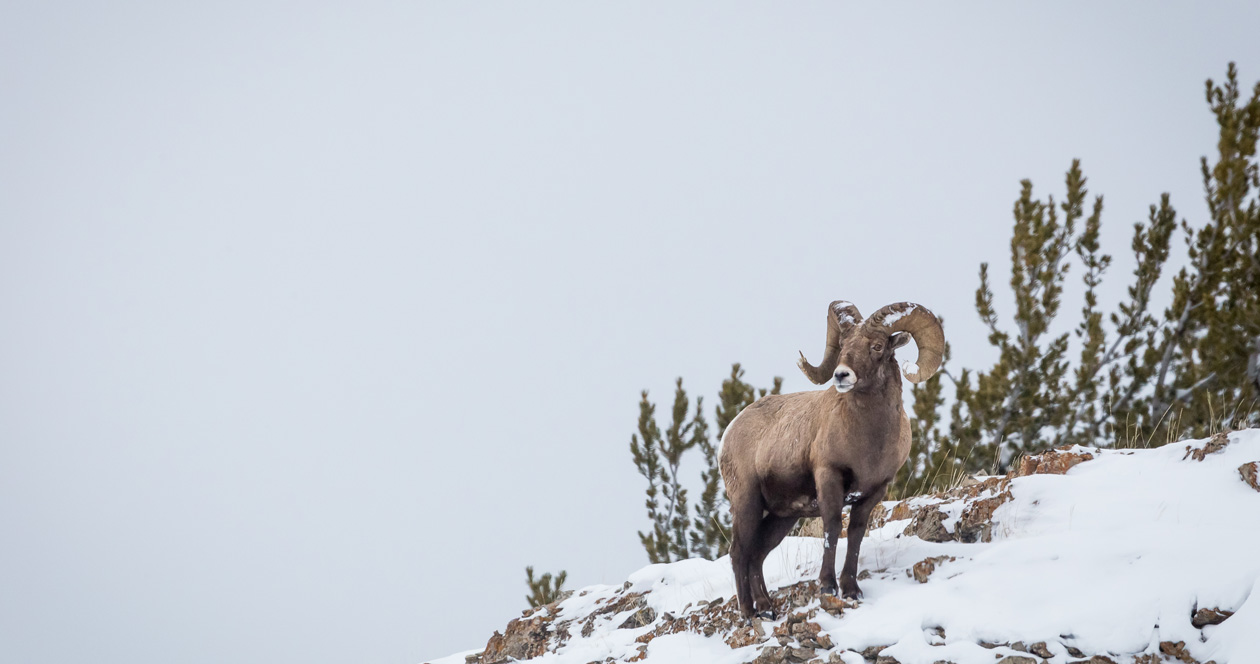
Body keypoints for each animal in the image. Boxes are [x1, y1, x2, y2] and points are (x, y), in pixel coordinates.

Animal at [719, 300, 944, 620]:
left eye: (877, 346)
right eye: (843, 346)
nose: (841, 375)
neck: (869, 441)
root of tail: (730, 430)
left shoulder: (874, 491)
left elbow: (856, 535)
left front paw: (851, 590)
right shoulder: (829, 477)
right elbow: (833, 528)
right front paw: (827, 587)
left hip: (782, 517)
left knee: (757, 555)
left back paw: (767, 609)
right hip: (746, 502)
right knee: (739, 553)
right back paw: (749, 613)